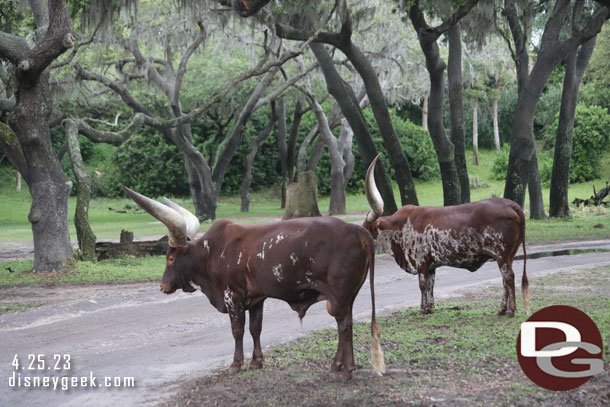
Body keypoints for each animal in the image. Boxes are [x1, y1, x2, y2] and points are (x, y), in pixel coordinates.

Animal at [121, 188, 382, 380]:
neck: (211, 253)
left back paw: (346, 370)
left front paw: (236, 364)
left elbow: (237, 330)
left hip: (339, 295)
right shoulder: (257, 297)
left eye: (170, 258)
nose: (162, 286)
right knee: (346, 323)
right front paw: (257, 361)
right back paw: (338, 365)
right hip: (347, 296)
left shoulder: (232, 296)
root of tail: (359, 231)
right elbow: (256, 328)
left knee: (344, 326)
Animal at [360, 156, 528, 318]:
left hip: (502, 255)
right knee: (505, 280)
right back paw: (501, 310)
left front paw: (422, 309)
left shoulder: (421, 262)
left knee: (509, 278)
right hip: (509, 256)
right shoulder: (431, 265)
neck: (399, 227)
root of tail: (510, 204)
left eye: (365, 230)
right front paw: (430, 308)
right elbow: (430, 286)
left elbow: (422, 285)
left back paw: (510, 311)